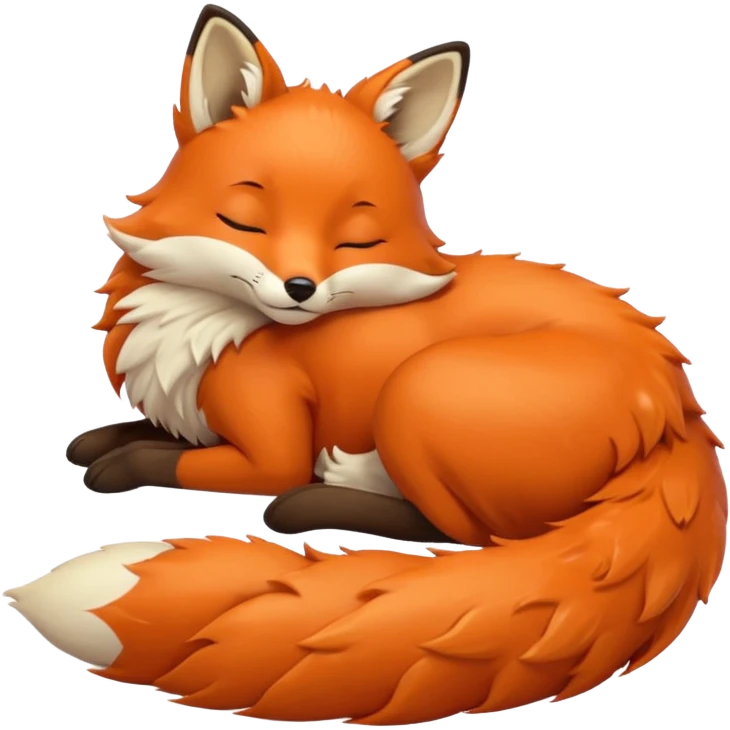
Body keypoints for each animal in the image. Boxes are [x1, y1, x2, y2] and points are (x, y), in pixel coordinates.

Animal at [6, 3, 727, 725]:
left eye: (355, 239)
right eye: (245, 221)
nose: (300, 288)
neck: (206, 325)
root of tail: (676, 410)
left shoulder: (268, 449)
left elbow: (172, 459)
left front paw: (118, 467)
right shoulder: (191, 407)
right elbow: (143, 432)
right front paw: (95, 442)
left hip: (421, 386)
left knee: (458, 531)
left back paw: (323, 497)